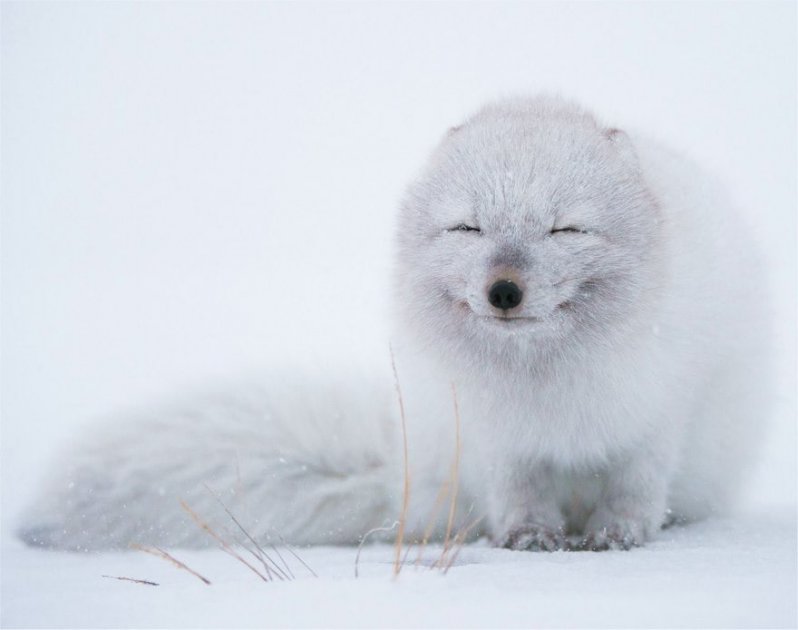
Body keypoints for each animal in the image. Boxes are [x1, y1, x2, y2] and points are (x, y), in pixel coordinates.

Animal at [17, 97, 768, 552]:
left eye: (566, 228)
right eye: (467, 228)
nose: (503, 290)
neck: (542, 382)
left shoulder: (657, 413)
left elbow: (635, 486)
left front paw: (618, 536)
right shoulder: (495, 436)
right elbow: (519, 493)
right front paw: (529, 539)